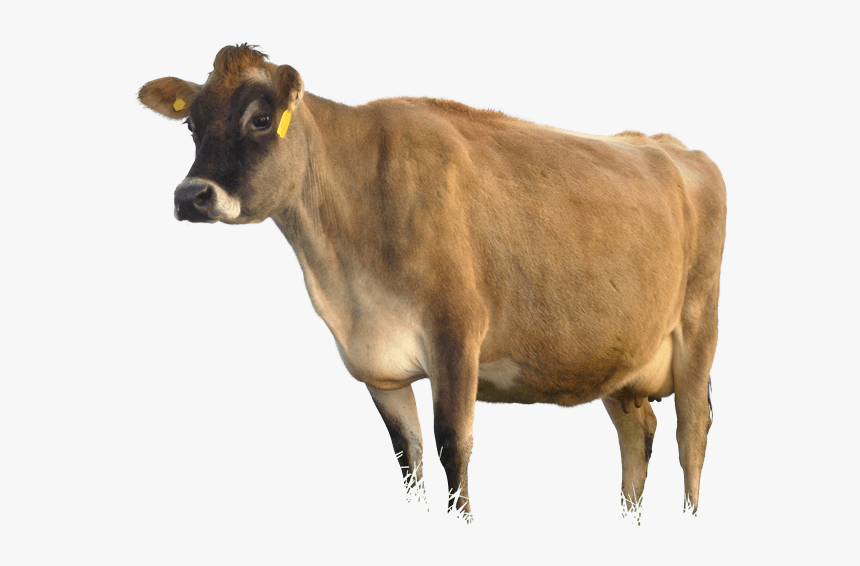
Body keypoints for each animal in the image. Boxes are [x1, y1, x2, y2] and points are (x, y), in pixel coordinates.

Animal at [139, 44, 726, 519]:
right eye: (191, 124)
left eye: (261, 119)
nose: (191, 195)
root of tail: (677, 148)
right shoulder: (379, 365)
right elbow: (409, 455)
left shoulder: (457, 334)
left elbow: (452, 445)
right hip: (616, 356)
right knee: (638, 432)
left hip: (699, 327)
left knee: (691, 431)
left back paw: (689, 520)